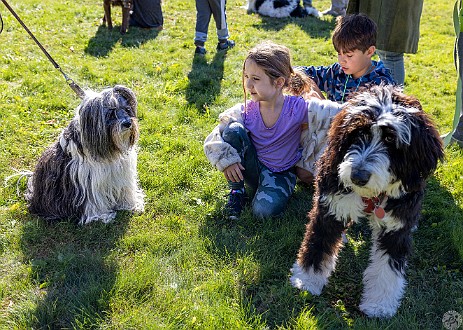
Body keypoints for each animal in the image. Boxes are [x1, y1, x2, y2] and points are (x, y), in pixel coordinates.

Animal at [24, 85, 145, 224]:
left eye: (127, 109)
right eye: (110, 114)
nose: (127, 123)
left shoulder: (123, 172)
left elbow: (126, 190)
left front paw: (131, 205)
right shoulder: (87, 179)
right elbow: (93, 200)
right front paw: (102, 215)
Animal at [290, 84, 446, 318]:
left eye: (390, 140)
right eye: (358, 133)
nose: (358, 176)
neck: (372, 195)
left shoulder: (395, 225)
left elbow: (387, 266)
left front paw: (379, 304)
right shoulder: (332, 206)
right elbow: (318, 244)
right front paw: (307, 281)